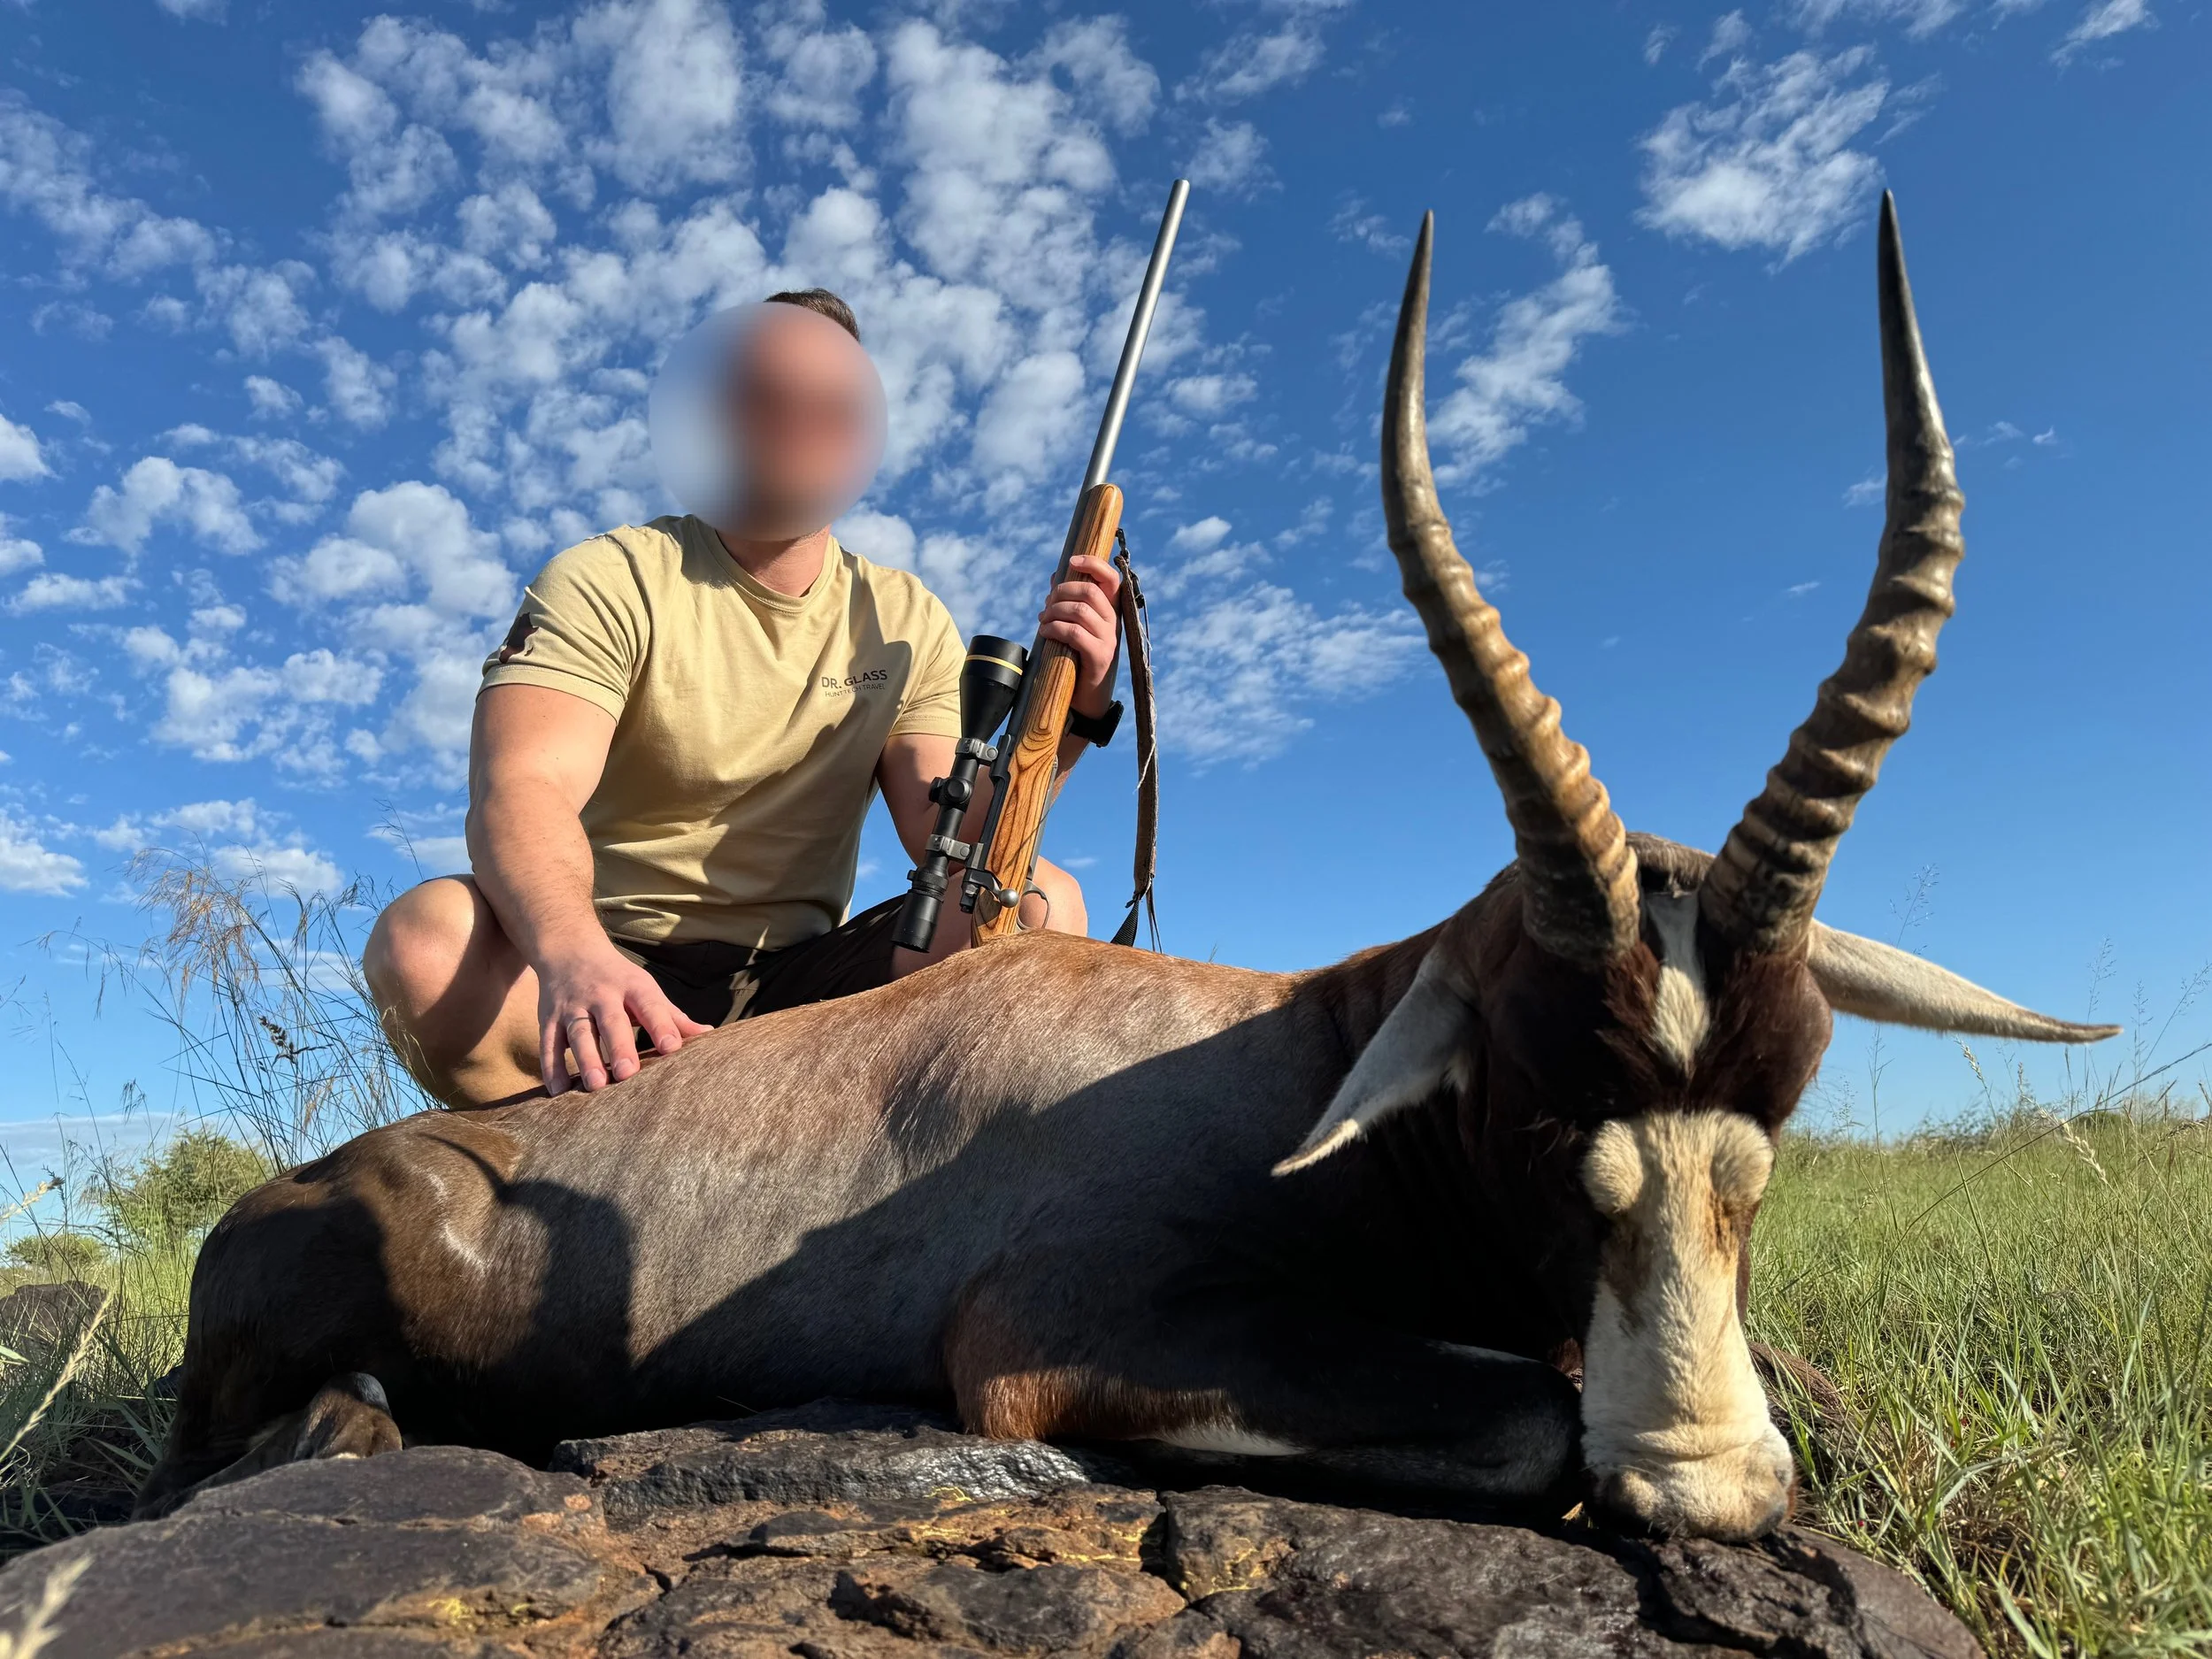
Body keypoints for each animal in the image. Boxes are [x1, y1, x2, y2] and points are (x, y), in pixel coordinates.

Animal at [138, 197, 2113, 1541]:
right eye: (1544, 1109)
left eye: (1777, 1118)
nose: (1701, 1491)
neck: (1295, 1051)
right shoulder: (1058, 1325)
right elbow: (1524, 1420)